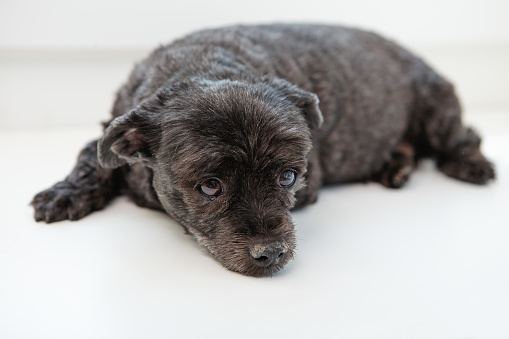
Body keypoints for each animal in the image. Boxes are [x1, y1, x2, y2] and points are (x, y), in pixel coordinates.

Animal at [29, 25, 494, 278]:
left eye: (288, 177)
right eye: (210, 186)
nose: (270, 253)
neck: (205, 64)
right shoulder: (113, 127)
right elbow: (92, 159)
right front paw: (64, 193)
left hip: (436, 105)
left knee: (461, 136)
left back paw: (471, 164)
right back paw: (394, 166)